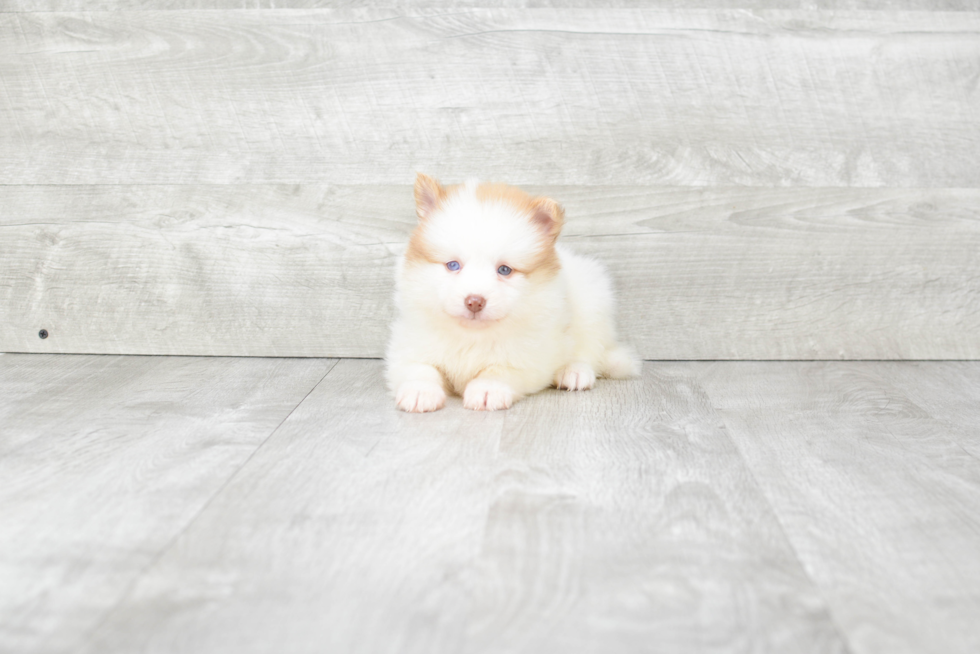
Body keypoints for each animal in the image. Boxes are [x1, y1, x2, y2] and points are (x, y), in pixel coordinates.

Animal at [386, 172, 640, 412]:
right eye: (453, 265)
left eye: (504, 270)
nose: (474, 301)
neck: (473, 337)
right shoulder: (409, 346)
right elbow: (420, 368)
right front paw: (420, 391)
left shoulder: (528, 358)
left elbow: (500, 370)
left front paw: (488, 389)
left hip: (593, 301)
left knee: (588, 350)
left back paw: (574, 372)